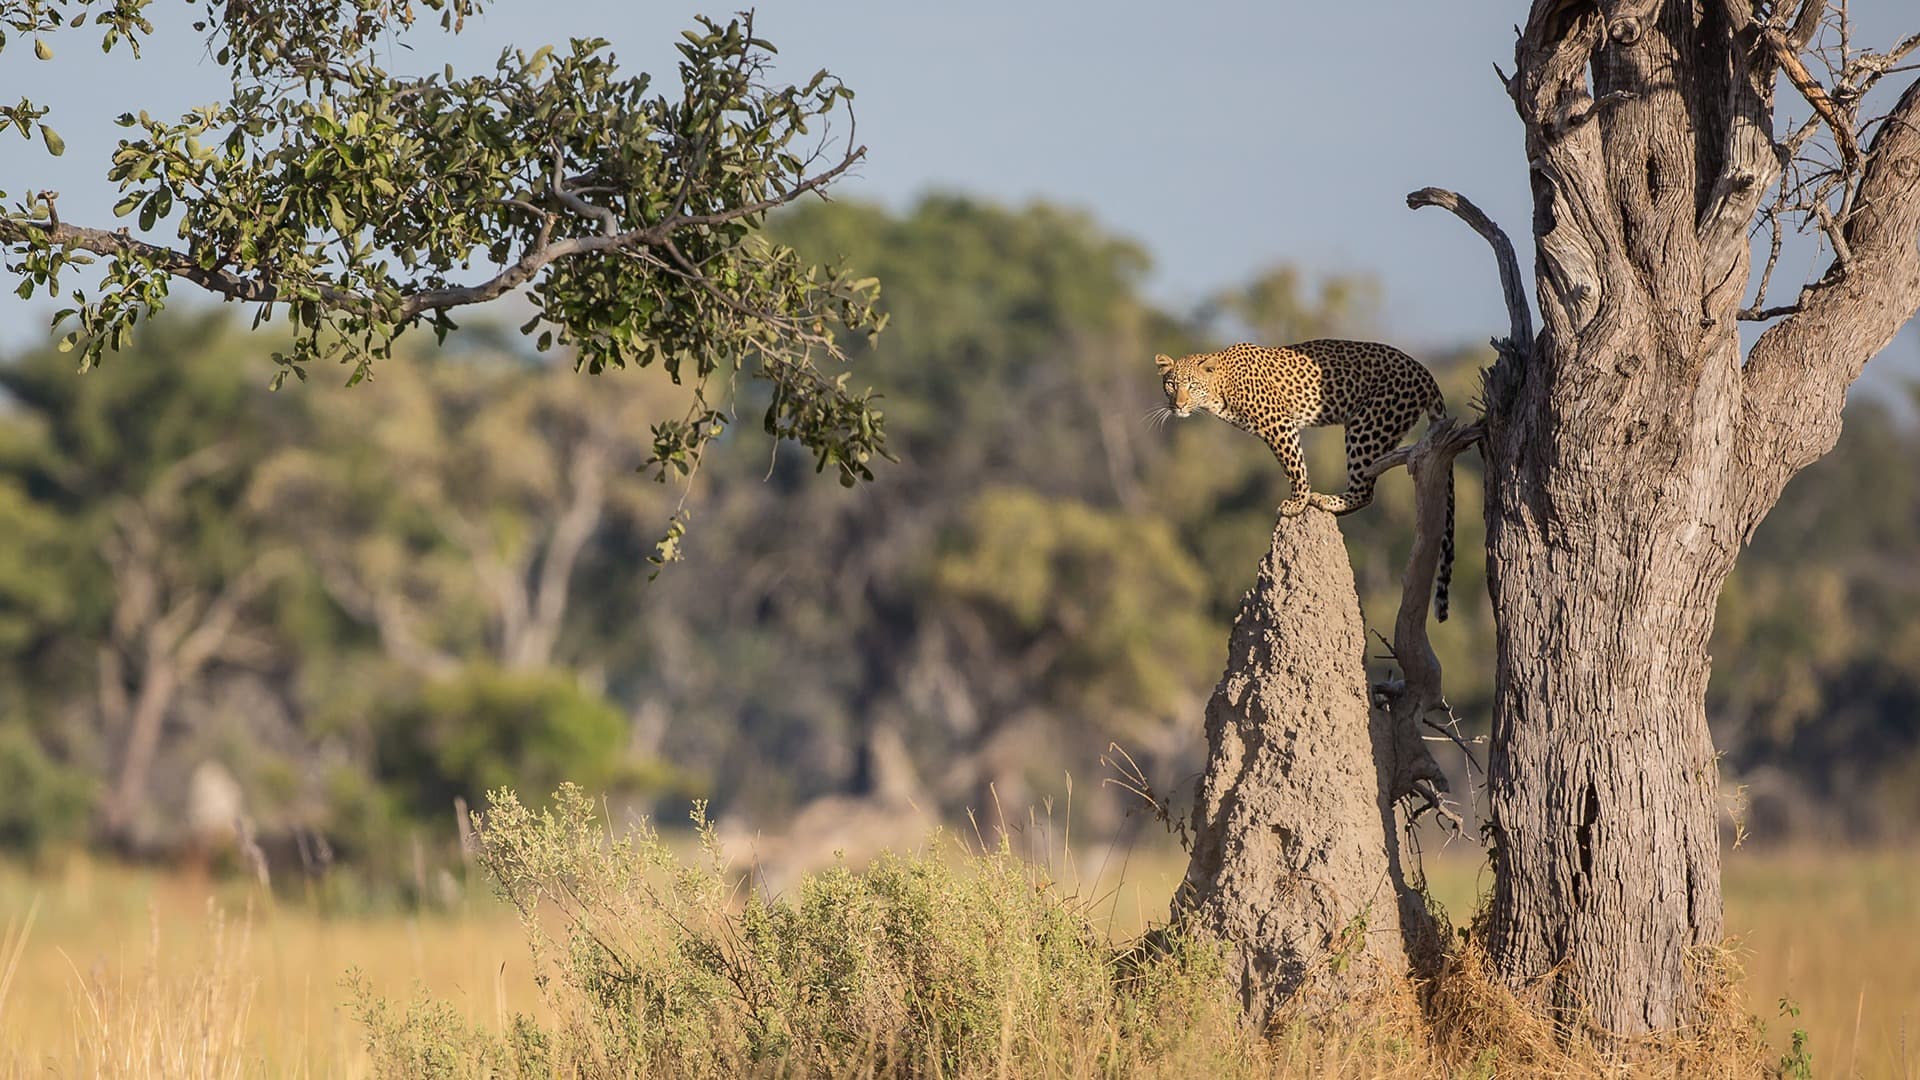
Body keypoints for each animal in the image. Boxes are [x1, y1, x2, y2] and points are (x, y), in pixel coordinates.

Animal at [1154, 340, 1455, 621]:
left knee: (1365, 490)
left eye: (1192, 385)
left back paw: (1327, 501)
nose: (1178, 405)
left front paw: (1297, 503)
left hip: (1367, 423)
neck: (1220, 388)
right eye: (1170, 384)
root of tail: (1423, 371)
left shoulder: (1278, 422)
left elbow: (1295, 464)